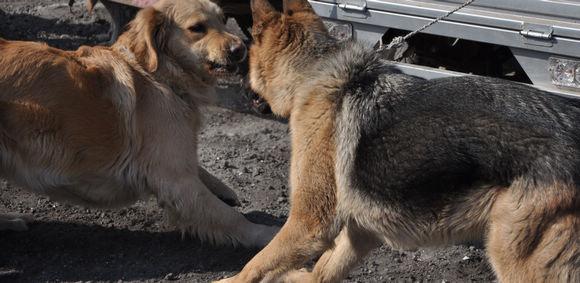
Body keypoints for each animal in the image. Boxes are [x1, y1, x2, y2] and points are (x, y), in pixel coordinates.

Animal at [0, 0, 278, 248]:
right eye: (197, 28)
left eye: (222, 20)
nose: (241, 49)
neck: (156, 75)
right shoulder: (176, 182)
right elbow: (228, 218)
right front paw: (267, 235)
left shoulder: (176, 161)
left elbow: (200, 171)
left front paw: (223, 189)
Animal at [216, 0, 580, 280]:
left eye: (247, 51)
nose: (241, 89)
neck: (316, 73)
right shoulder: (360, 231)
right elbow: (324, 269)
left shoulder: (309, 223)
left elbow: (255, 266)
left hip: (514, 257)